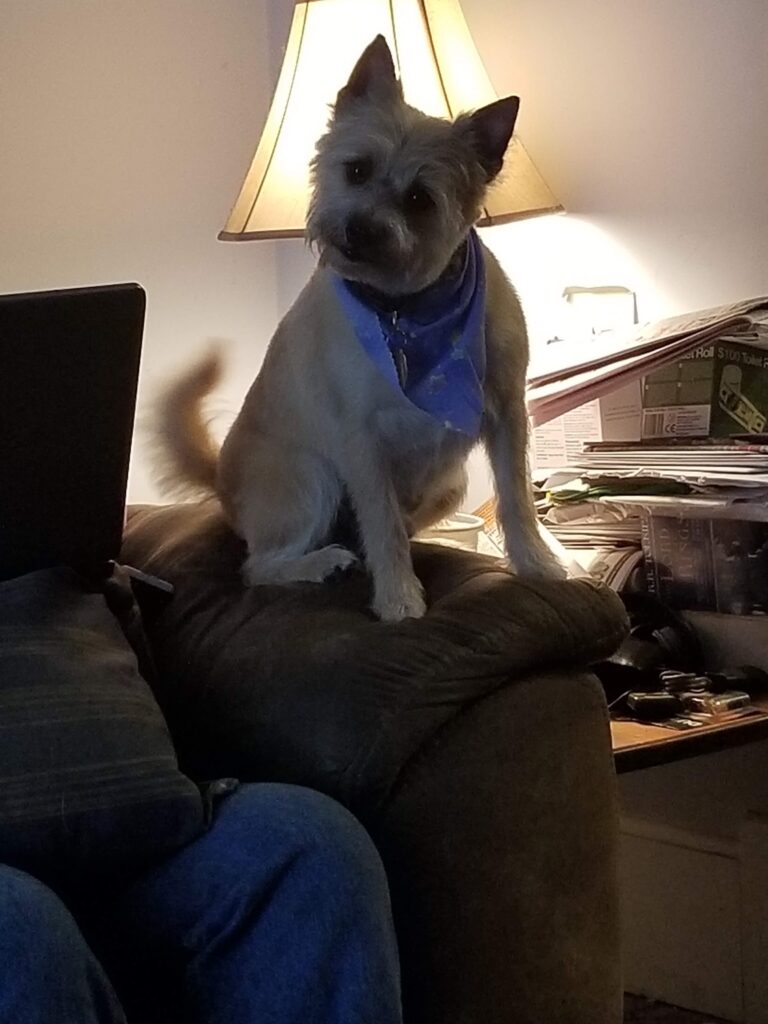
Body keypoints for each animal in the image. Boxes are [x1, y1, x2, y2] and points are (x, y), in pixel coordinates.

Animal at [157, 35, 565, 622]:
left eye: (419, 198)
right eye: (356, 170)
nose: (358, 230)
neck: (405, 309)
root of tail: (219, 479)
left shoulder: (509, 414)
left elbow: (515, 497)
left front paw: (536, 562)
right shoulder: (361, 441)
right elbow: (383, 524)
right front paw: (399, 597)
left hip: (451, 485)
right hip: (311, 478)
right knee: (259, 567)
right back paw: (321, 563)